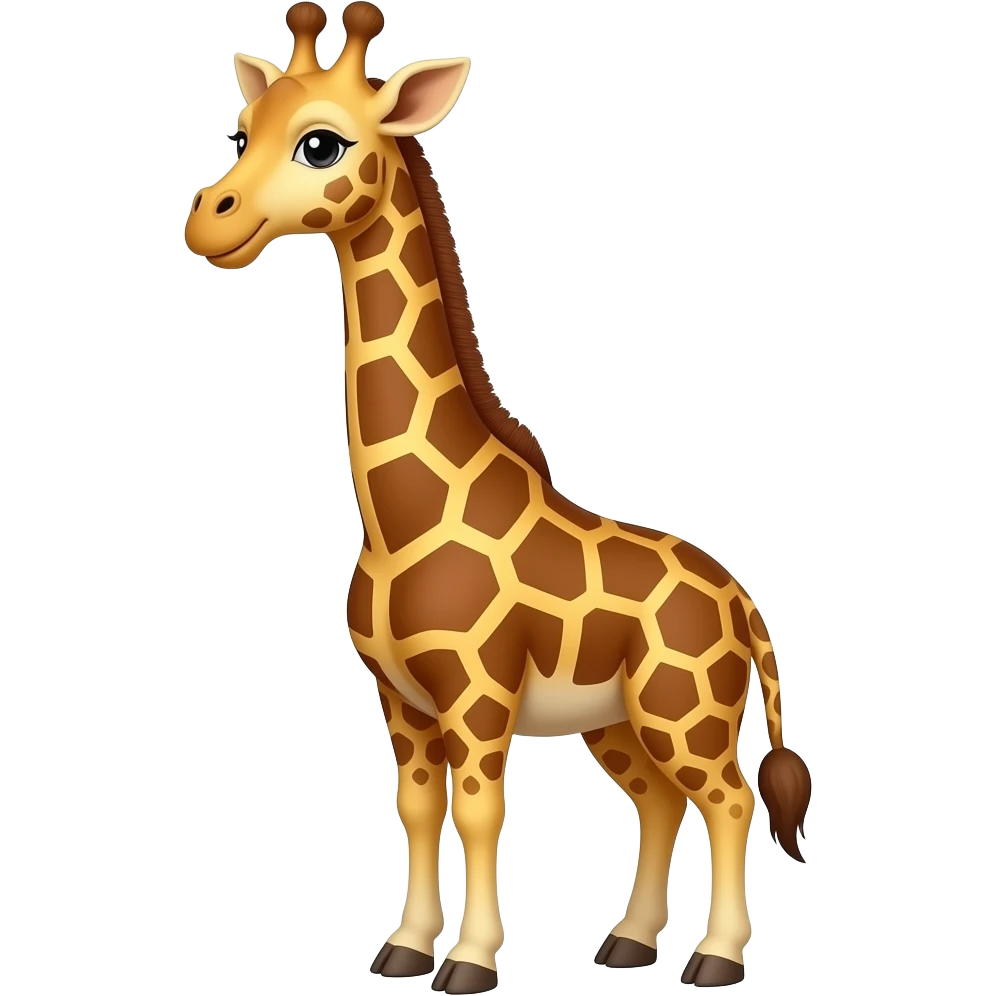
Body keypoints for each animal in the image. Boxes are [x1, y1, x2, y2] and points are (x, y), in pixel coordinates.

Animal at [183, 3, 813, 991]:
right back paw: (629, 943)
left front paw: (470, 963)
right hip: (620, 721)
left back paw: (714, 959)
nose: (210, 223)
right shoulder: (400, 700)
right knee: (660, 803)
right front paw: (403, 950)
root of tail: (746, 606)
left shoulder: (477, 692)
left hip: (688, 710)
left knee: (731, 798)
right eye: (243, 131)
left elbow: (479, 813)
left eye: (322, 142)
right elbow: (415, 809)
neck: (398, 521)